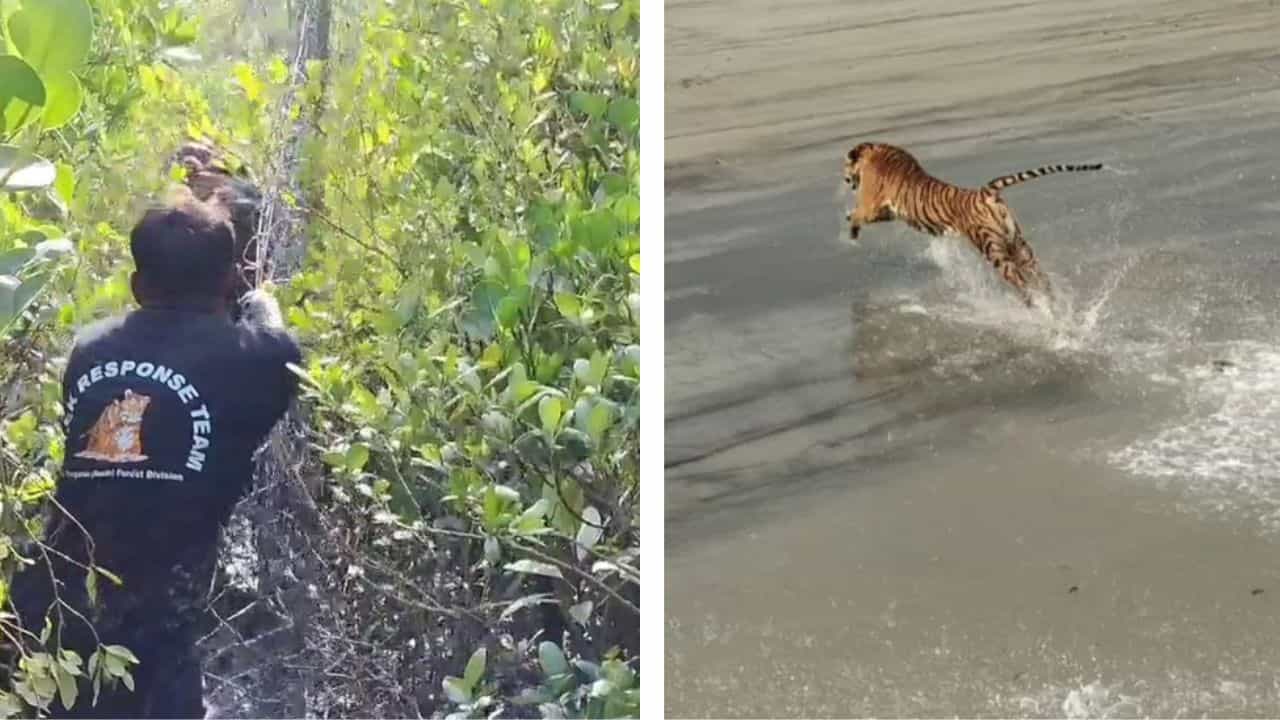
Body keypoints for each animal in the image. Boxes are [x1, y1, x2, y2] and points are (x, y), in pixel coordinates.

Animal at [842, 142, 1102, 306]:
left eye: (844, 164)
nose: (845, 179)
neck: (874, 150)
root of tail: (986, 193)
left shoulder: (870, 206)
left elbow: (856, 215)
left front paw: (850, 233)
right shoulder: (887, 212)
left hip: (994, 250)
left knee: (1021, 283)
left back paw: (1035, 307)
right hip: (1019, 245)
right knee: (1041, 279)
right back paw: (1053, 303)